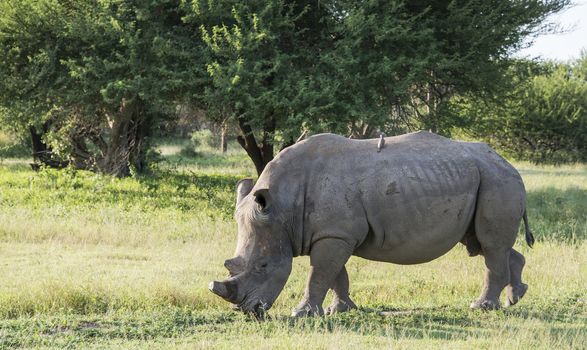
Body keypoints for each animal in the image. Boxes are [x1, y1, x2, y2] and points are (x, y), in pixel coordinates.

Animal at [209, 131, 536, 318]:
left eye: (263, 266)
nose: (248, 311)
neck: (282, 207)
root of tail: (507, 163)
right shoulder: (332, 233)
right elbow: (334, 274)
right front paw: (339, 310)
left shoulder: (334, 234)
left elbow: (319, 274)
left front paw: (302, 314)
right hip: (485, 179)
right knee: (483, 243)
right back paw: (515, 297)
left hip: (497, 180)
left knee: (490, 245)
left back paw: (483, 307)